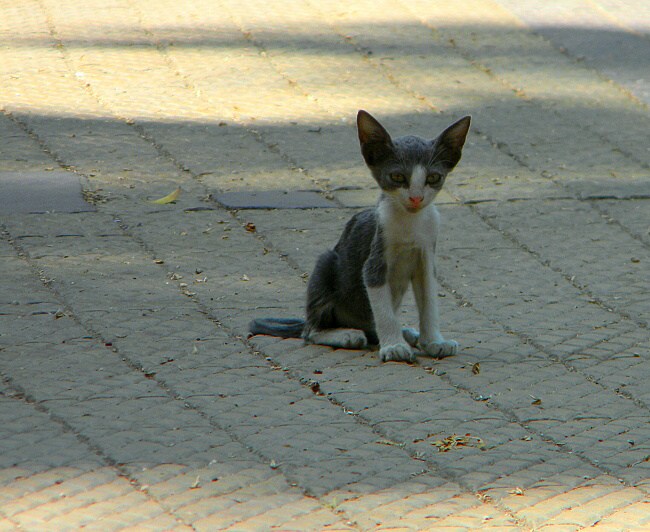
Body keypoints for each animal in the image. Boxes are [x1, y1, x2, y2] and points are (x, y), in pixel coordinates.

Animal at [247, 111, 466, 362]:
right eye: (398, 176)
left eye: (433, 178)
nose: (416, 198)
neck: (411, 223)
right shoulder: (375, 259)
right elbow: (383, 310)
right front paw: (393, 346)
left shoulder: (426, 255)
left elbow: (429, 301)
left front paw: (433, 342)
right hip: (326, 265)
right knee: (310, 332)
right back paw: (346, 334)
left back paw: (406, 334)